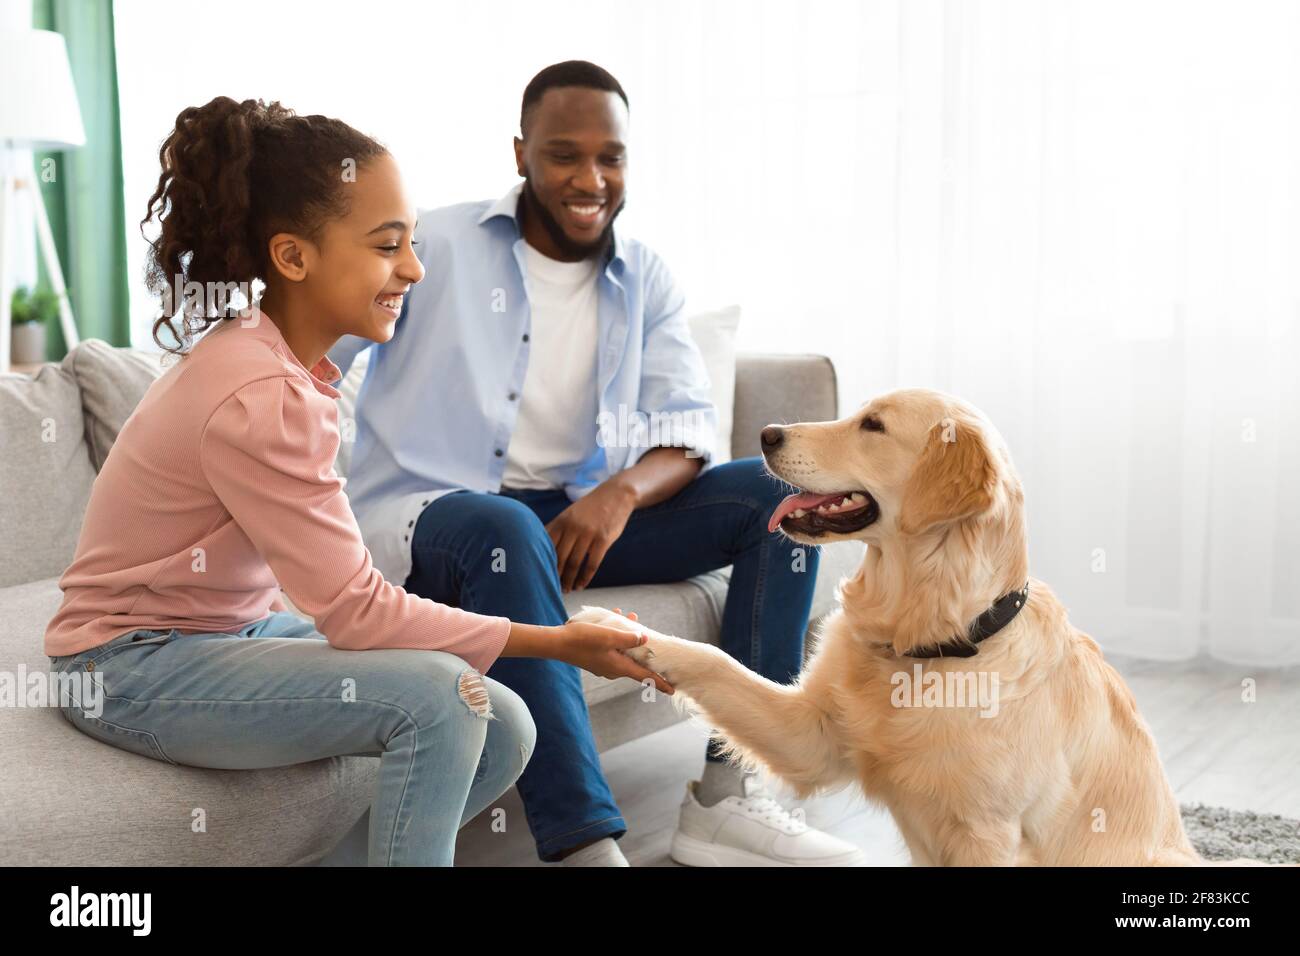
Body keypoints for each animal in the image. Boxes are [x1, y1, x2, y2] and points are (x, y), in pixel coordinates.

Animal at [574, 387, 1263, 868]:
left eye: (873, 426)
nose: (767, 433)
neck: (937, 642)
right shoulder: (812, 734)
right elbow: (712, 659)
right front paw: (610, 624)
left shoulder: (987, 834)